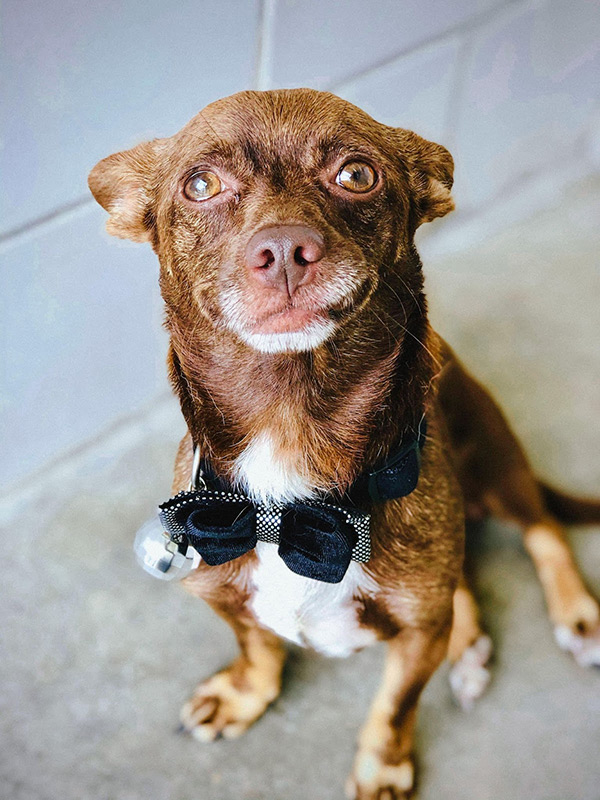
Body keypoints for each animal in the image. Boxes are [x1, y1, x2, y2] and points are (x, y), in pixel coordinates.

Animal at [89, 89, 600, 800]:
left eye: (357, 174)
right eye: (200, 185)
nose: (283, 248)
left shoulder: (416, 637)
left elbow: (394, 706)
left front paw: (383, 766)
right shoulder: (220, 592)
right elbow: (258, 645)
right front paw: (246, 693)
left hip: (493, 458)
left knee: (541, 528)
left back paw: (577, 617)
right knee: (463, 582)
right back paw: (469, 643)